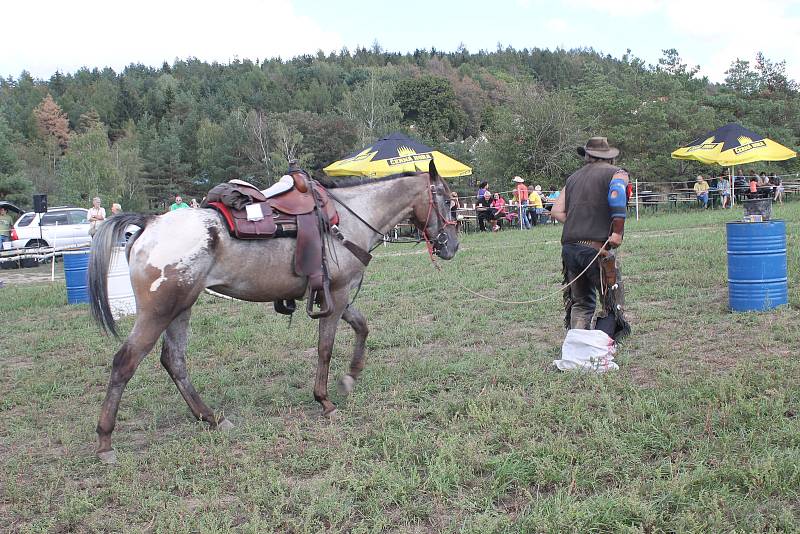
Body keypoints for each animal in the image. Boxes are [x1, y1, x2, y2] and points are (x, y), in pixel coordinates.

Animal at [88, 169, 460, 464]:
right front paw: (325, 401)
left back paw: (212, 418)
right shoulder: (337, 294)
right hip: (159, 311)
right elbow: (326, 347)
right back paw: (105, 442)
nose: (452, 245)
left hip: (182, 308)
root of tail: (148, 223)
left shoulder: (337, 295)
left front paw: (351, 376)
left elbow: (362, 327)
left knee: (174, 360)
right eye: (446, 201)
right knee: (125, 362)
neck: (348, 217)